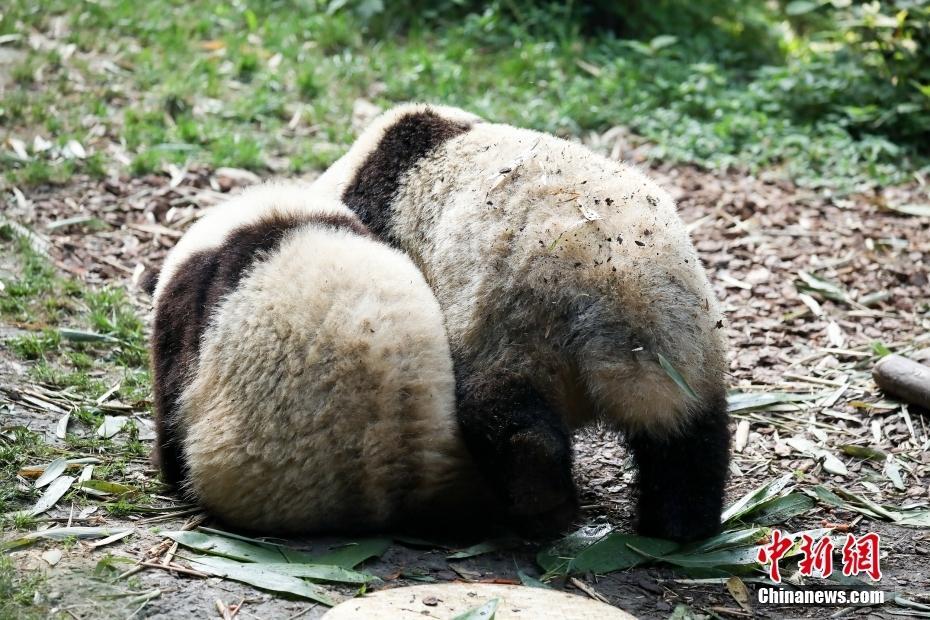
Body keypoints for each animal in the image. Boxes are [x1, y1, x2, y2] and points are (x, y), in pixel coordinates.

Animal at [316, 106, 728, 544]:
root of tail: (619, 296)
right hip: (685, 339)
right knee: (686, 436)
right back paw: (680, 523)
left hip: (517, 313)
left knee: (503, 406)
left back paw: (541, 502)